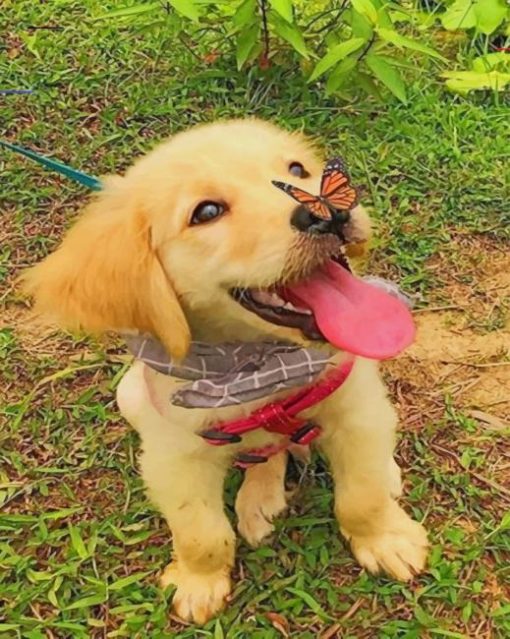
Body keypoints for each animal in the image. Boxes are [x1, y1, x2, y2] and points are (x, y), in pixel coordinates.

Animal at [24, 120, 430, 624]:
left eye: (298, 170)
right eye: (207, 211)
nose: (329, 214)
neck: (258, 369)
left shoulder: (356, 409)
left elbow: (363, 495)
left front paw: (386, 539)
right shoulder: (173, 457)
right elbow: (200, 531)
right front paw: (199, 583)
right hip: (130, 396)